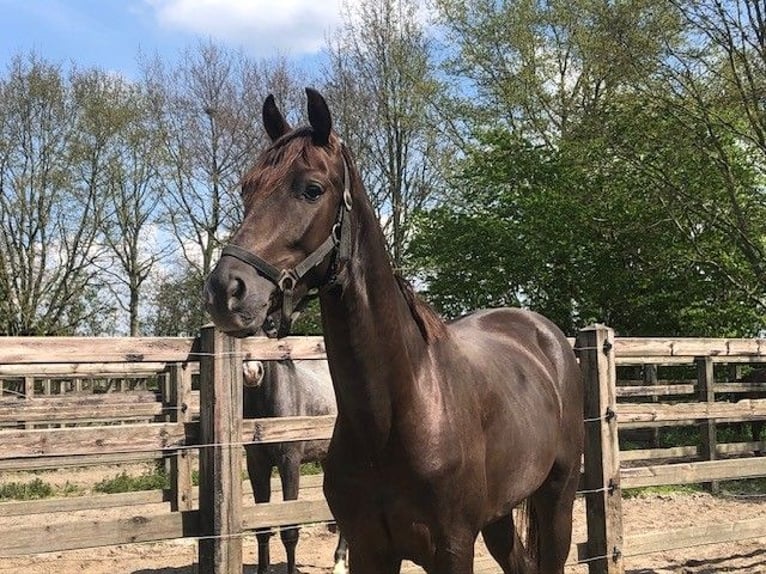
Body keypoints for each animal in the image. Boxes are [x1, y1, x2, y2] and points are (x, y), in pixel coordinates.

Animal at [243, 357, 348, 574]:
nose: (251, 373)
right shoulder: (256, 466)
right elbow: (262, 527)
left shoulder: (289, 463)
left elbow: (290, 531)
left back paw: (340, 563)